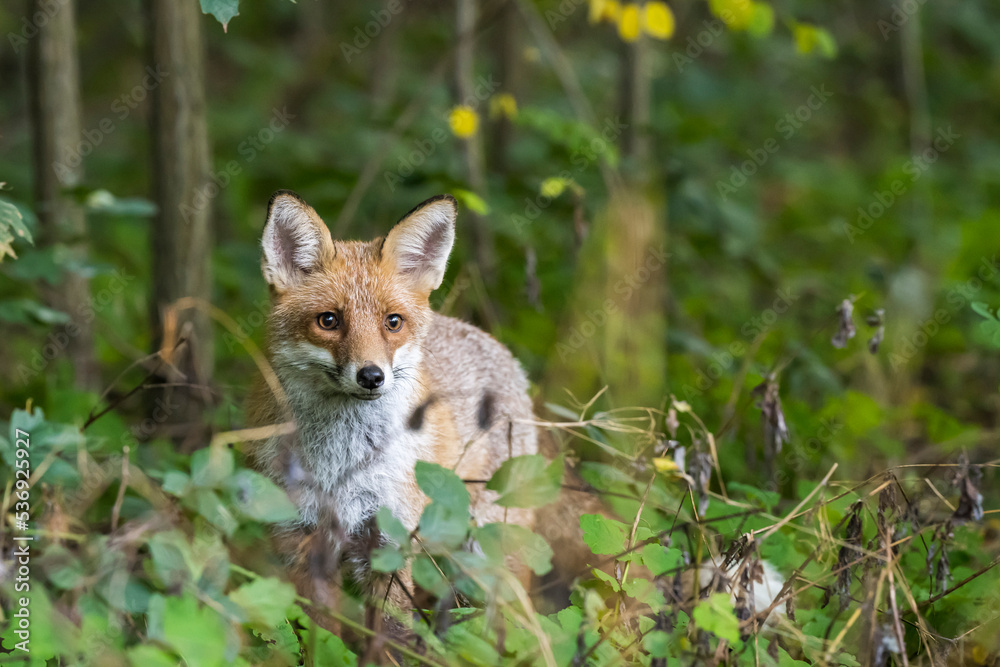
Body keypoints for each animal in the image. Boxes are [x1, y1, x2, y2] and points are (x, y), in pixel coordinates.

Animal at [246, 191, 538, 618]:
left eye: (393, 322)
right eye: (328, 321)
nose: (371, 376)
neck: (340, 465)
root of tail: (489, 338)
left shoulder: (389, 540)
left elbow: (390, 627)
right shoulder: (299, 538)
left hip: (491, 549)